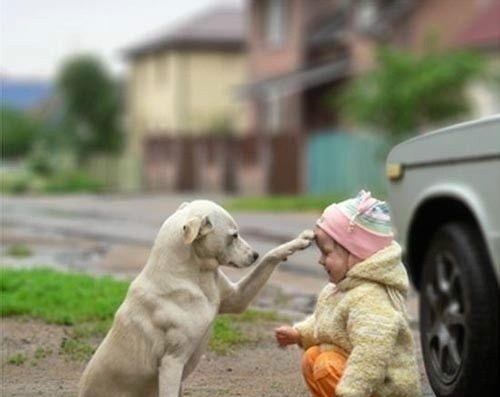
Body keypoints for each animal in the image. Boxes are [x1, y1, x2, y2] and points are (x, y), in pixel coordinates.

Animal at [78, 200, 312, 394]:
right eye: (234, 235)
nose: (254, 255)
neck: (193, 276)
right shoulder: (172, 363)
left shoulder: (238, 299)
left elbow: (270, 256)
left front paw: (298, 242)